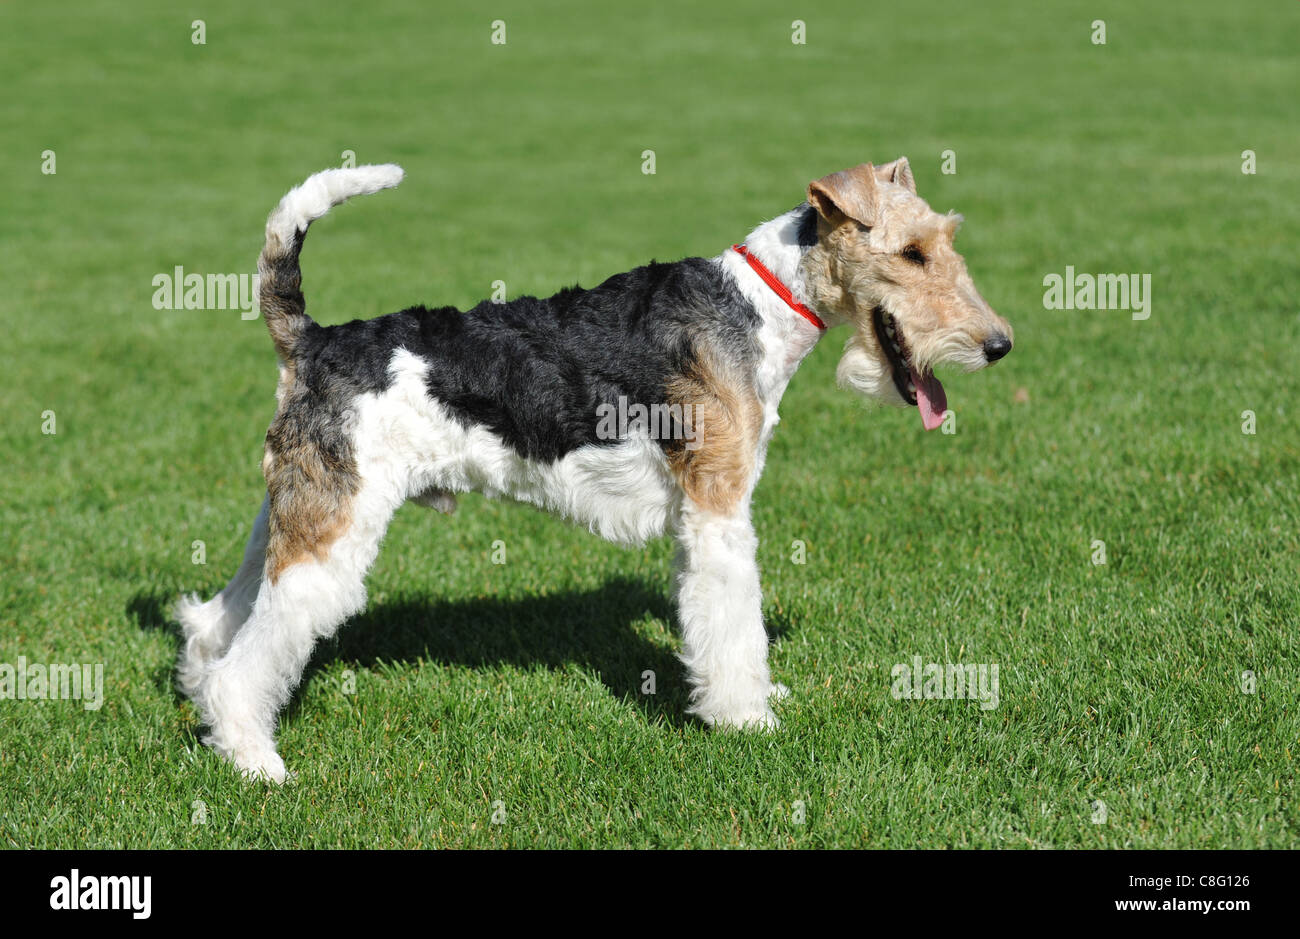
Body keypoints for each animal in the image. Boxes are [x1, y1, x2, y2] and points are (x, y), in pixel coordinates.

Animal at [178, 157, 1008, 780]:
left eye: (946, 238)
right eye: (912, 252)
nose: (998, 344)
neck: (762, 304)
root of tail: (311, 341)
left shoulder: (697, 515)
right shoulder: (719, 508)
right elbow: (734, 622)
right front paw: (748, 719)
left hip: (291, 512)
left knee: (218, 620)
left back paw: (210, 716)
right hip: (332, 528)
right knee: (249, 658)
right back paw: (257, 761)